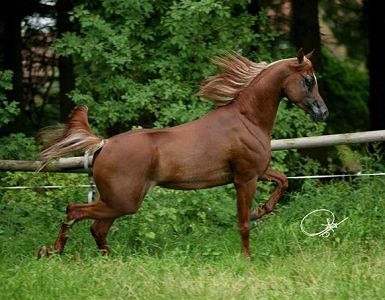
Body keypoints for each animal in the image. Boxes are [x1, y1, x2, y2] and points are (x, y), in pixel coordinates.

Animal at [37, 49, 328, 258]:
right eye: (308, 80)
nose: (323, 112)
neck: (248, 119)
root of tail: (103, 144)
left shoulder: (259, 171)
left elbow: (283, 181)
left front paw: (261, 211)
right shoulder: (245, 179)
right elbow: (243, 223)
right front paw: (248, 258)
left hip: (118, 201)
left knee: (96, 228)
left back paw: (107, 257)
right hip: (123, 201)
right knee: (75, 211)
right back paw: (51, 250)